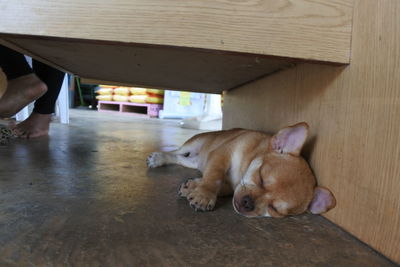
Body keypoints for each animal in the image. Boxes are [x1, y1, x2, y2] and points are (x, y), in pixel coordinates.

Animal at [147, 123, 334, 218]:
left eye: (274, 209)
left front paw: (193, 187)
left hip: (192, 162)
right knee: (176, 152)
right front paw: (204, 194)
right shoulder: (222, 154)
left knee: (180, 159)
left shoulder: (232, 184)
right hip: (195, 143)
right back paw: (159, 158)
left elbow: (220, 185)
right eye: (261, 178)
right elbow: (214, 177)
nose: (248, 203)